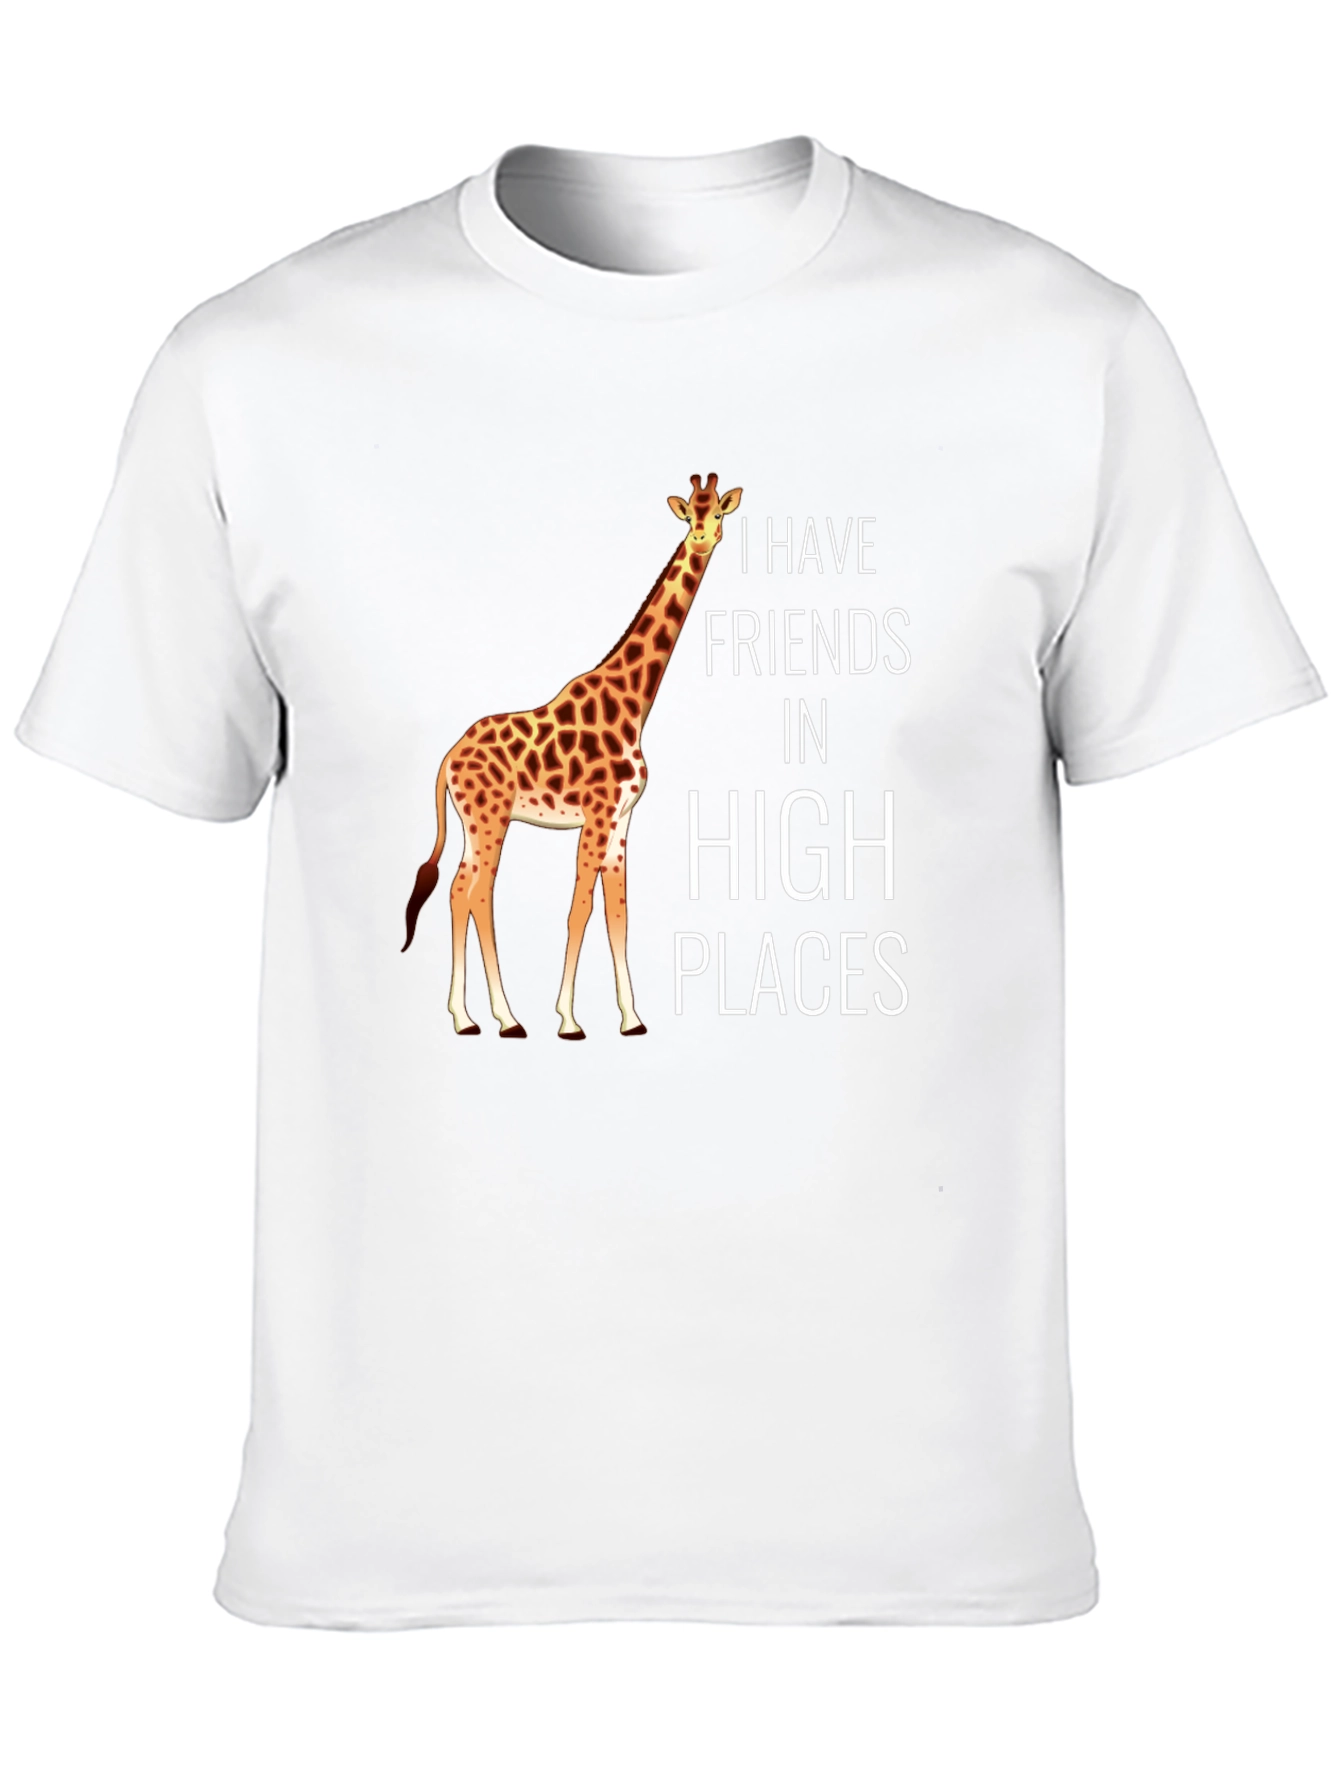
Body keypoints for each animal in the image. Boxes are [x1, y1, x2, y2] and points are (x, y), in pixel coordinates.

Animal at [401, 472, 743, 1040]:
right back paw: (504, 1018)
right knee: (477, 893)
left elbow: (618, 914)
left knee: (457, 890)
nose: (701, 539)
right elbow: (579, 910)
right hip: (491, 820)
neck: (634, 704)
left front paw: (631, 1018)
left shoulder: (622, 822)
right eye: (690, 514)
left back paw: (469, 1017)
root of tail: (448, 759)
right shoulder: (598, 817)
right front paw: (567, 1020)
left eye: (717, 513)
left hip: (475, 823)